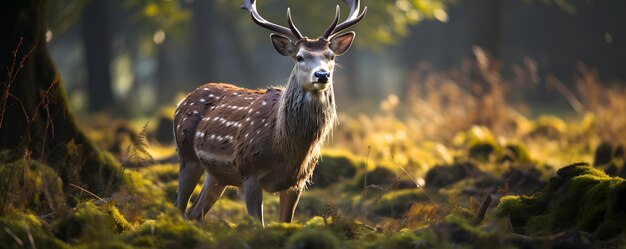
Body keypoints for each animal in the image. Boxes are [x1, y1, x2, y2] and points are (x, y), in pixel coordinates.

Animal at [171, 0, 366, 226]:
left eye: (331, 56)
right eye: (299, 57)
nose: (322, 74)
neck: (286, 149)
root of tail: (182, 101)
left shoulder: (298, 182)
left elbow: (285, 222)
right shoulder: (249, 172)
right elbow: (258, 225)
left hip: (217, 175)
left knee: (194, 212)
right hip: (186, 156)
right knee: (180, 207)